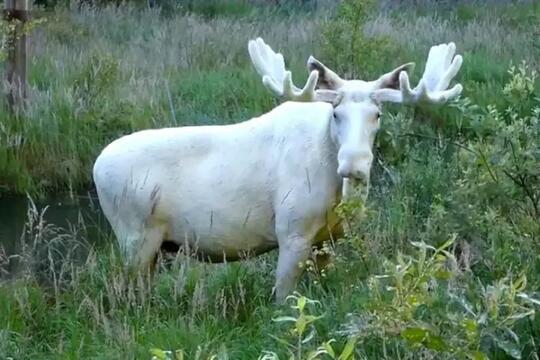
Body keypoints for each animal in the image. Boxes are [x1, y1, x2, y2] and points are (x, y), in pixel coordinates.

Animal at [92, 37, 460, 300]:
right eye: (336, 113)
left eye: (377, 114)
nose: (354, 164)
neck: (334, 192)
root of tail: (96, 166)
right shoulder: (291, 230)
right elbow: (282, 299)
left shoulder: (327, 240)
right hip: (134, 235)